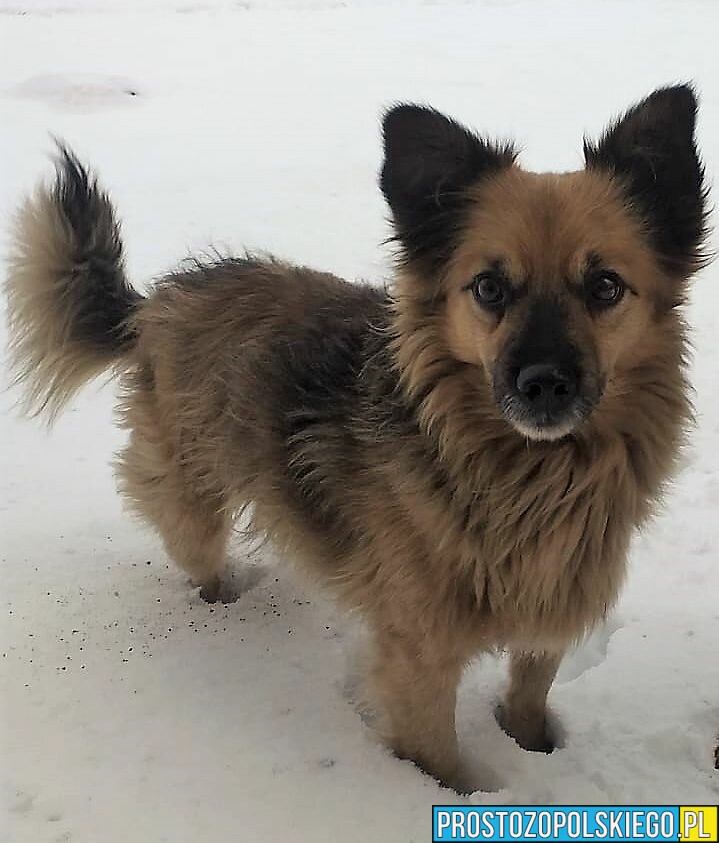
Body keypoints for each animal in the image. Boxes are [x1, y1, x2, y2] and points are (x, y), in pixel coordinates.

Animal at [5, 82, 708, 788]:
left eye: (605, 286)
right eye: (488, 287)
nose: (544, 383)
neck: (526, 480)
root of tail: (156, 302)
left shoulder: (551, 607)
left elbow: (531, 693)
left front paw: (535, 749)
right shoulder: (419, 655)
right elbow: (437, 754)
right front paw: (446, 794)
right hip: (191, 490)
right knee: (194, 549)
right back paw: (224, 605)